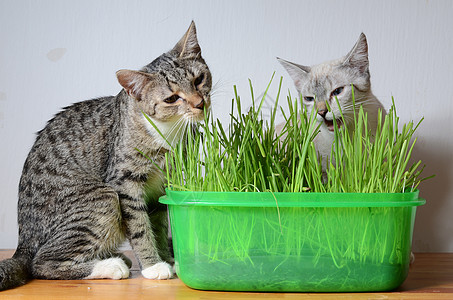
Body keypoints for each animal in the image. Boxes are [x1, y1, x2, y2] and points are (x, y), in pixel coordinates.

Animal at [0, 21, 212, 290]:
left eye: (199, 80)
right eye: (172, 98)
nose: (199, 103)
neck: (168, 133)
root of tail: (23, 242)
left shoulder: (162, 185)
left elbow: (158, 225)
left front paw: (167, 258)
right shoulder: (124, 182)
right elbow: (140, 227)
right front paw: (153, 266)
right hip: (103, 197)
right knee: (42, 264)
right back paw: (110, 266)